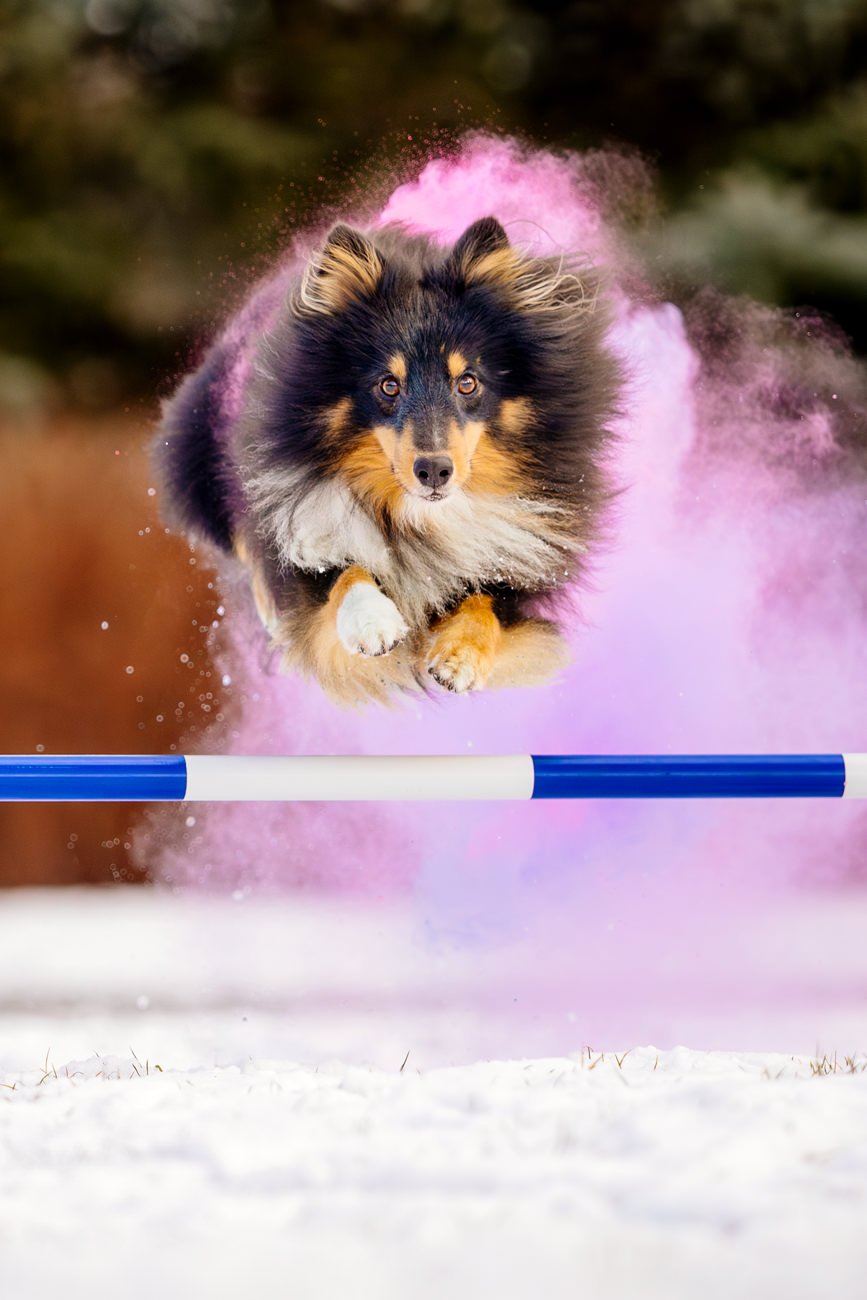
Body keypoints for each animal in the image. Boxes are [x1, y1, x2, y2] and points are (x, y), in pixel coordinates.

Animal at [154, 214, 616, 707]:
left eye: (468, 382)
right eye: (388, 385)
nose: (434, 471)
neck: (417, 517)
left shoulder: (519, 553)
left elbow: (488, 601)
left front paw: (457, 661)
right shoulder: (298, 517)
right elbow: (339, 569)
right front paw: (374, 625)